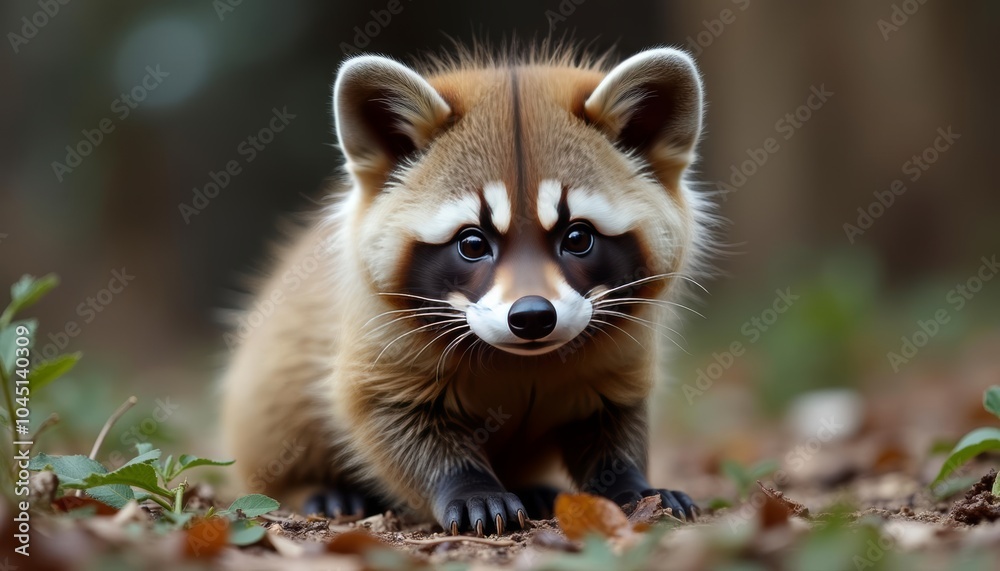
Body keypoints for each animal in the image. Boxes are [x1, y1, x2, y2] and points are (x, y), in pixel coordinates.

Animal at [221, 43, 713, 536]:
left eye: (577, 238)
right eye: (473, 244)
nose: (532, 317)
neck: (523, 361)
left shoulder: (624, 352)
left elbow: (613, 419)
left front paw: (631, 484)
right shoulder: (376, 340)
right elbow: (392, 419)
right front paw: (467, 486)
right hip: (266, 395)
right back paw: (314, 487)